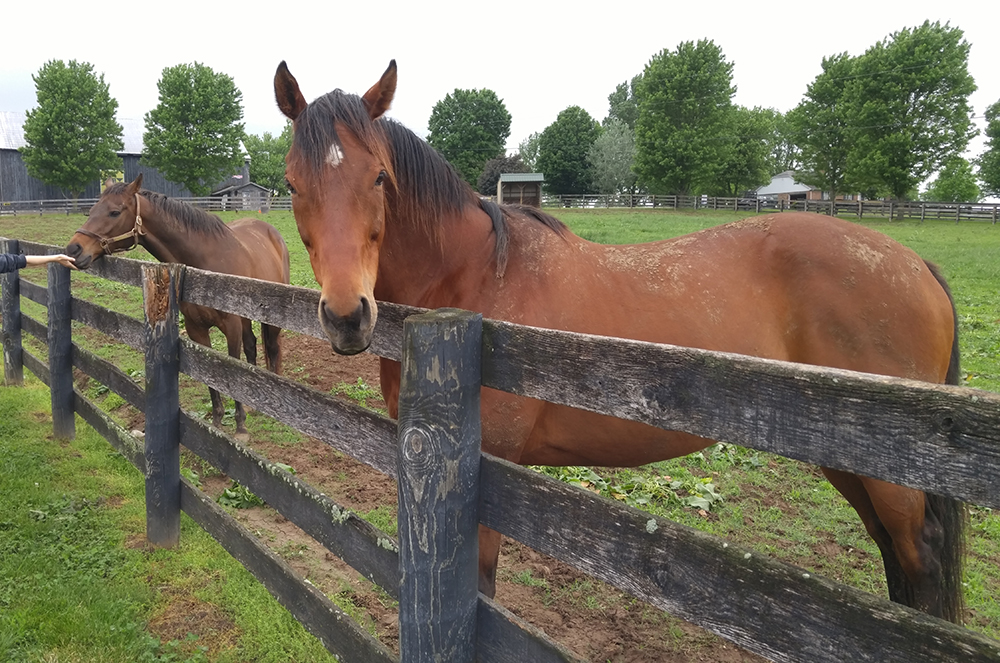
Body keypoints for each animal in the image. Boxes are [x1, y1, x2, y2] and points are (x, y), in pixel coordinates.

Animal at [65, 174, 292, 441]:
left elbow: (230, 373)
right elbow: (211, 376)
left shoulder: (231, 327)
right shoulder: (197, 329)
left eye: (114, 212)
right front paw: (217, 422)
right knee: (252, 345)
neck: (204, 263)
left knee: (271, 347)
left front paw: (240, 427)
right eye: (91, 210)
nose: (73, 249)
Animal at [273, 60, 966, 622]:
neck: (475, 277)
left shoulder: (488, 477)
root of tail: (916, 264)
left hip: (889, 481)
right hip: (852, 467)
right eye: (292, 185)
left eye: (379, 178)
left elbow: (485, 592)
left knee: (919, 558)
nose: (346, 316)